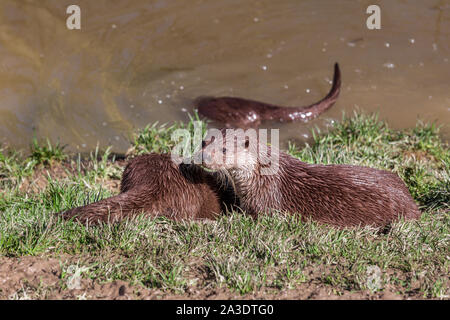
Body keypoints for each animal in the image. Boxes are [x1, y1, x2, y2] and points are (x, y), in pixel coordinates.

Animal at [200, 129, 422, 229]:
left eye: (224, 149)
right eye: (203, 142)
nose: (203, 156)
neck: (261, 175)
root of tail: (412, 202)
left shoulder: (267, 202)